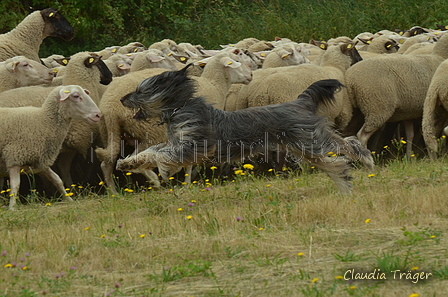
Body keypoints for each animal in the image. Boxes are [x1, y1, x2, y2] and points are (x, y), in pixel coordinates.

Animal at [116, 65, 374, 193]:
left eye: (140, 90)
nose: (121, 98)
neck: (180, 109)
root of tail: (298, 102)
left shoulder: (193, 145)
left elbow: (163, 154)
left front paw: (164, 169)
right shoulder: (178, 142)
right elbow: (151, 152)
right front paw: (128, 163)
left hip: (309, 141)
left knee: (346, 148)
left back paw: (362, 166)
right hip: (305, 146)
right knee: (339, 155)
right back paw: (348, 178)